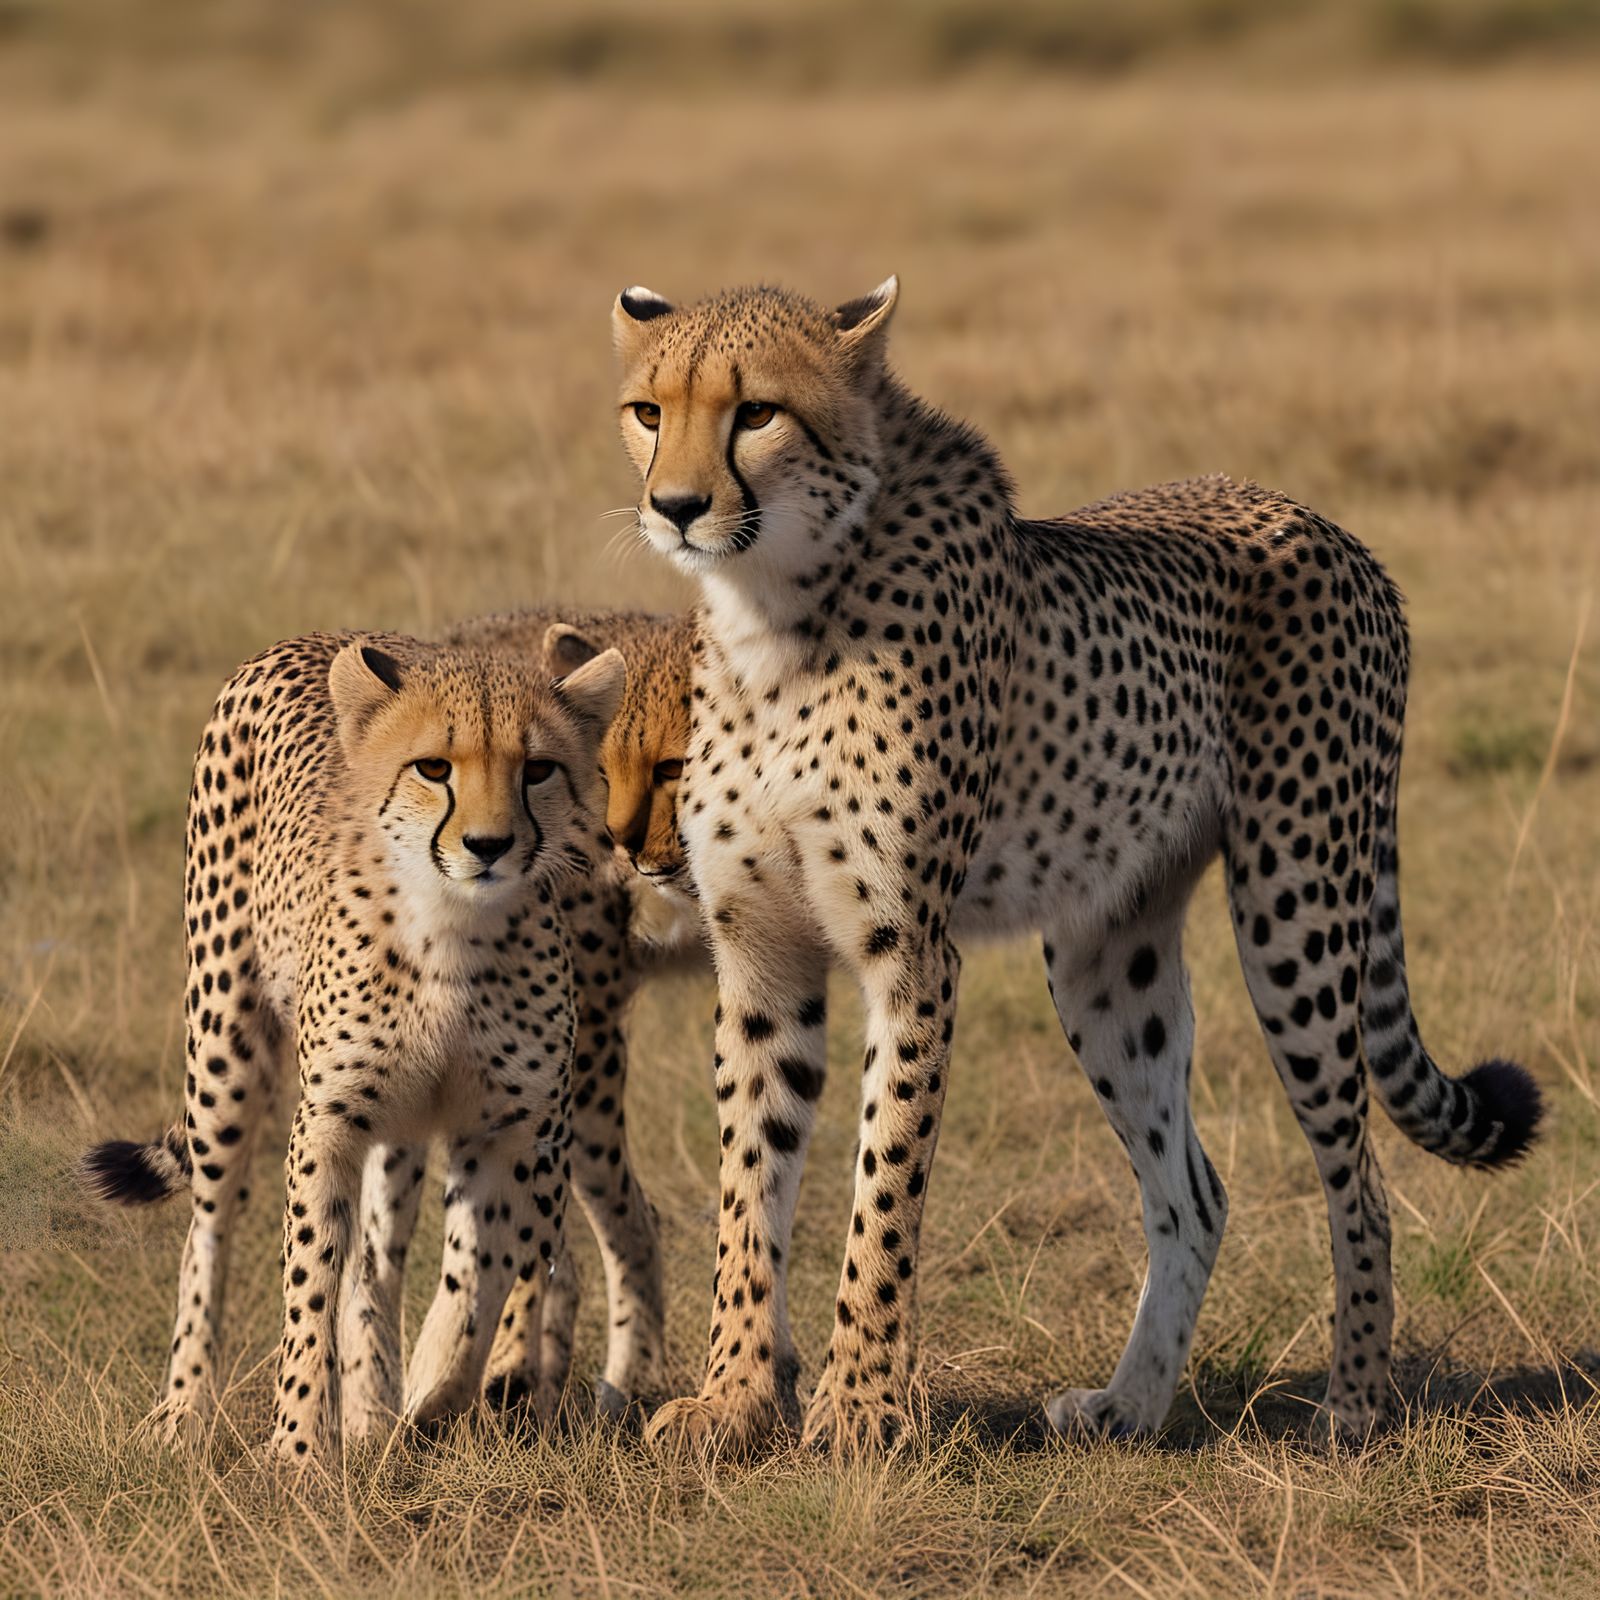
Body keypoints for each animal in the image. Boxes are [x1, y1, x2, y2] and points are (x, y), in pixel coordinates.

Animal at [88, 611, 700, 1429]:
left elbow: (484, 1269)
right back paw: (186, 1408)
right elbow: (311, 1282)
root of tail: (318, 636)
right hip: (225, 1050)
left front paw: (437, 1383)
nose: (488, 845)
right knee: (211, 1230)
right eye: (434, 768)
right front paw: (307, 1436)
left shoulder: (514, 1126)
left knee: (379, 1260)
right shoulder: (328, 1117)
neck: (454, 933)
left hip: (407, 1127)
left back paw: (379, 1407)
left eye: (538, 769)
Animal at [607, 275, 1543, 1455]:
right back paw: (1131, 1403)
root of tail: (1328, 528)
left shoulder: (910, 953)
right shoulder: (761, 955)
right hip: (1108, 958)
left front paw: (858, 1408)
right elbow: (748, 1186)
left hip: (1295, 905)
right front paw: (732, 1397)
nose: (676, 507)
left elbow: (882, 1188)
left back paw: (1353, 1406)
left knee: (1361, 1182)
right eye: (649, 410)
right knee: (1193, 1191)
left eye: (757, 412)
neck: (774, 612)